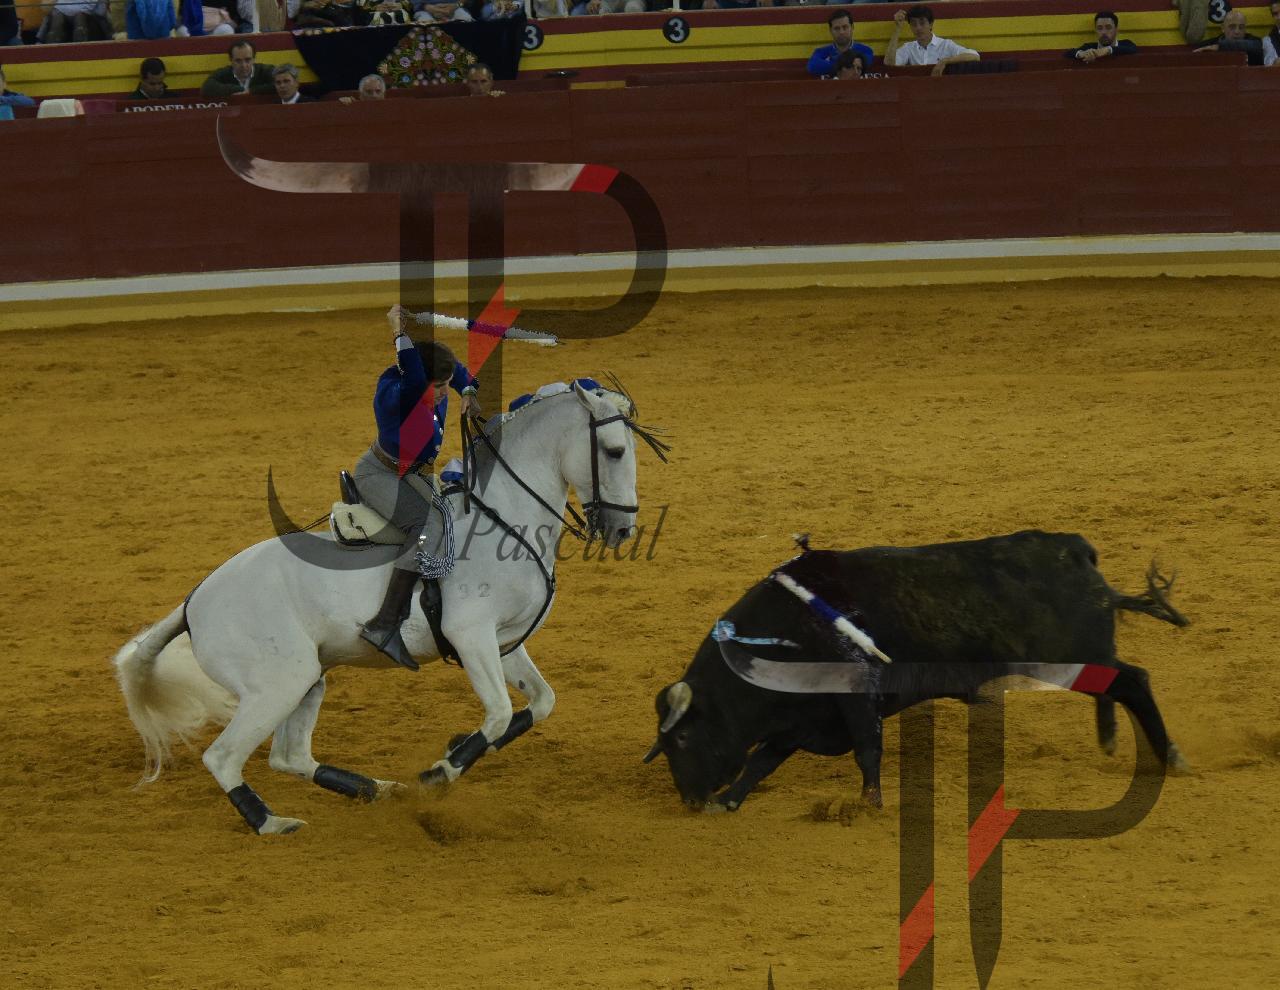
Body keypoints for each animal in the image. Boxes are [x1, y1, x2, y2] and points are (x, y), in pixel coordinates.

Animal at [114, 381, 665, 835]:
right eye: (614, 451)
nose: (622, 529)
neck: (503, 520)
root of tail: (195, 601)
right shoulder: (471, 636)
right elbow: (499, 712)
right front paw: (439, 771)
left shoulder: (504, 642)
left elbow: (539, 703)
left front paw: (453, 748)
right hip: (277, 684)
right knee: (225, 757)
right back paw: (272, 822)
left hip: (308, 680)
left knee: (290, 757)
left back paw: (373, 789)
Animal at [644, 531, 1189, 812]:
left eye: (683, 738)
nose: (690, 800)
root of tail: (1076, 550)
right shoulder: (801, 716)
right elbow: (763, 760)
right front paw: (731, 800)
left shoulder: (855, 696)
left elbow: (867, 749)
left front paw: (867, 804)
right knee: (1114, 688)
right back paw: (1115, 741)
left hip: (1069, 656)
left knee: (1132, 681)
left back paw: (1170, 757)